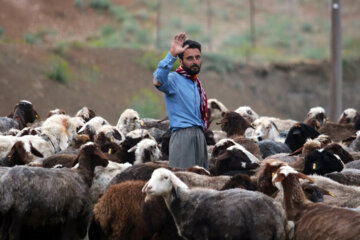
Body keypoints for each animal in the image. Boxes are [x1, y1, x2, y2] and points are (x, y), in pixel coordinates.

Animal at [143, 168, 290, 239]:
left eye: (165, 177)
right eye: (151, 177)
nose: (149, 188)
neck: (184, 202)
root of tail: (277, 210)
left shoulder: (200, 236)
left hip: (260, 235)